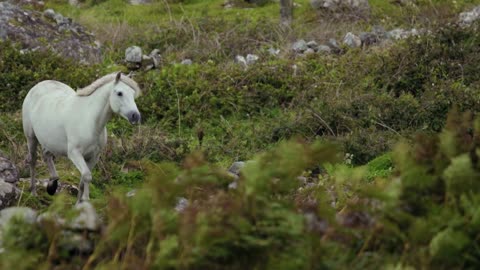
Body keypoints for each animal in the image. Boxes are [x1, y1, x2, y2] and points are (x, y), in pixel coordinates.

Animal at [22, 71, 142, 202]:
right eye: (120, 93)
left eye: (133, 94)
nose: (135, 116)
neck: (90, 121)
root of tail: (37, 86)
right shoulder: (75, 154)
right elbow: (87, 176)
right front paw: (85, 200)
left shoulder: (94, 156)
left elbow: (82, 180)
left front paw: (79, 203)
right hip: (31, 137)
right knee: (33, 160)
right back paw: (33, 192)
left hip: (49, 141)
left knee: (46, 155)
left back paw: (52, 186)